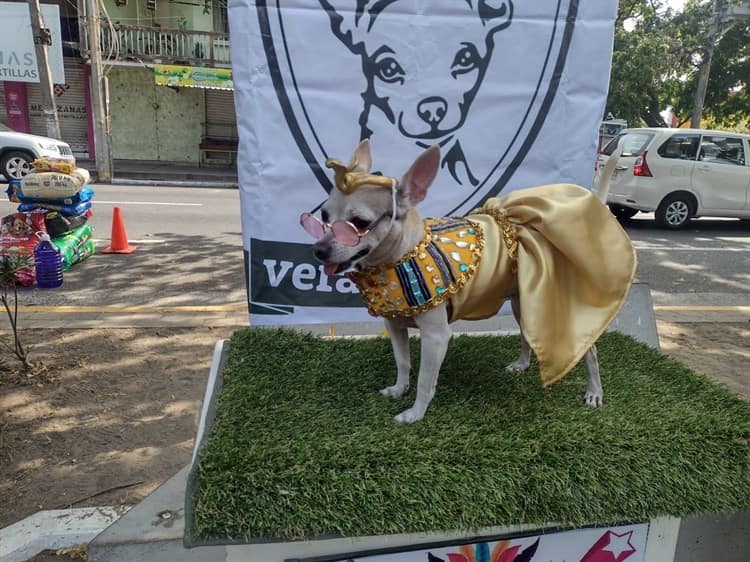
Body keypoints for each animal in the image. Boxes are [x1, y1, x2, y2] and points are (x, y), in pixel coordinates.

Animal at [304, 139, 636, 420]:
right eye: (323, 216)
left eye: (358, 224)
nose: (318, 250)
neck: (402, 257)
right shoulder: (395, 326)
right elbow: (403, 363)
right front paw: (399, 389)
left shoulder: (436, 337)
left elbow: (425, 380)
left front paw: (415, 414)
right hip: (523, 304)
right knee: (527, 337)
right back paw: (522, 364)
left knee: (589, 351)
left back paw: (594, 391)